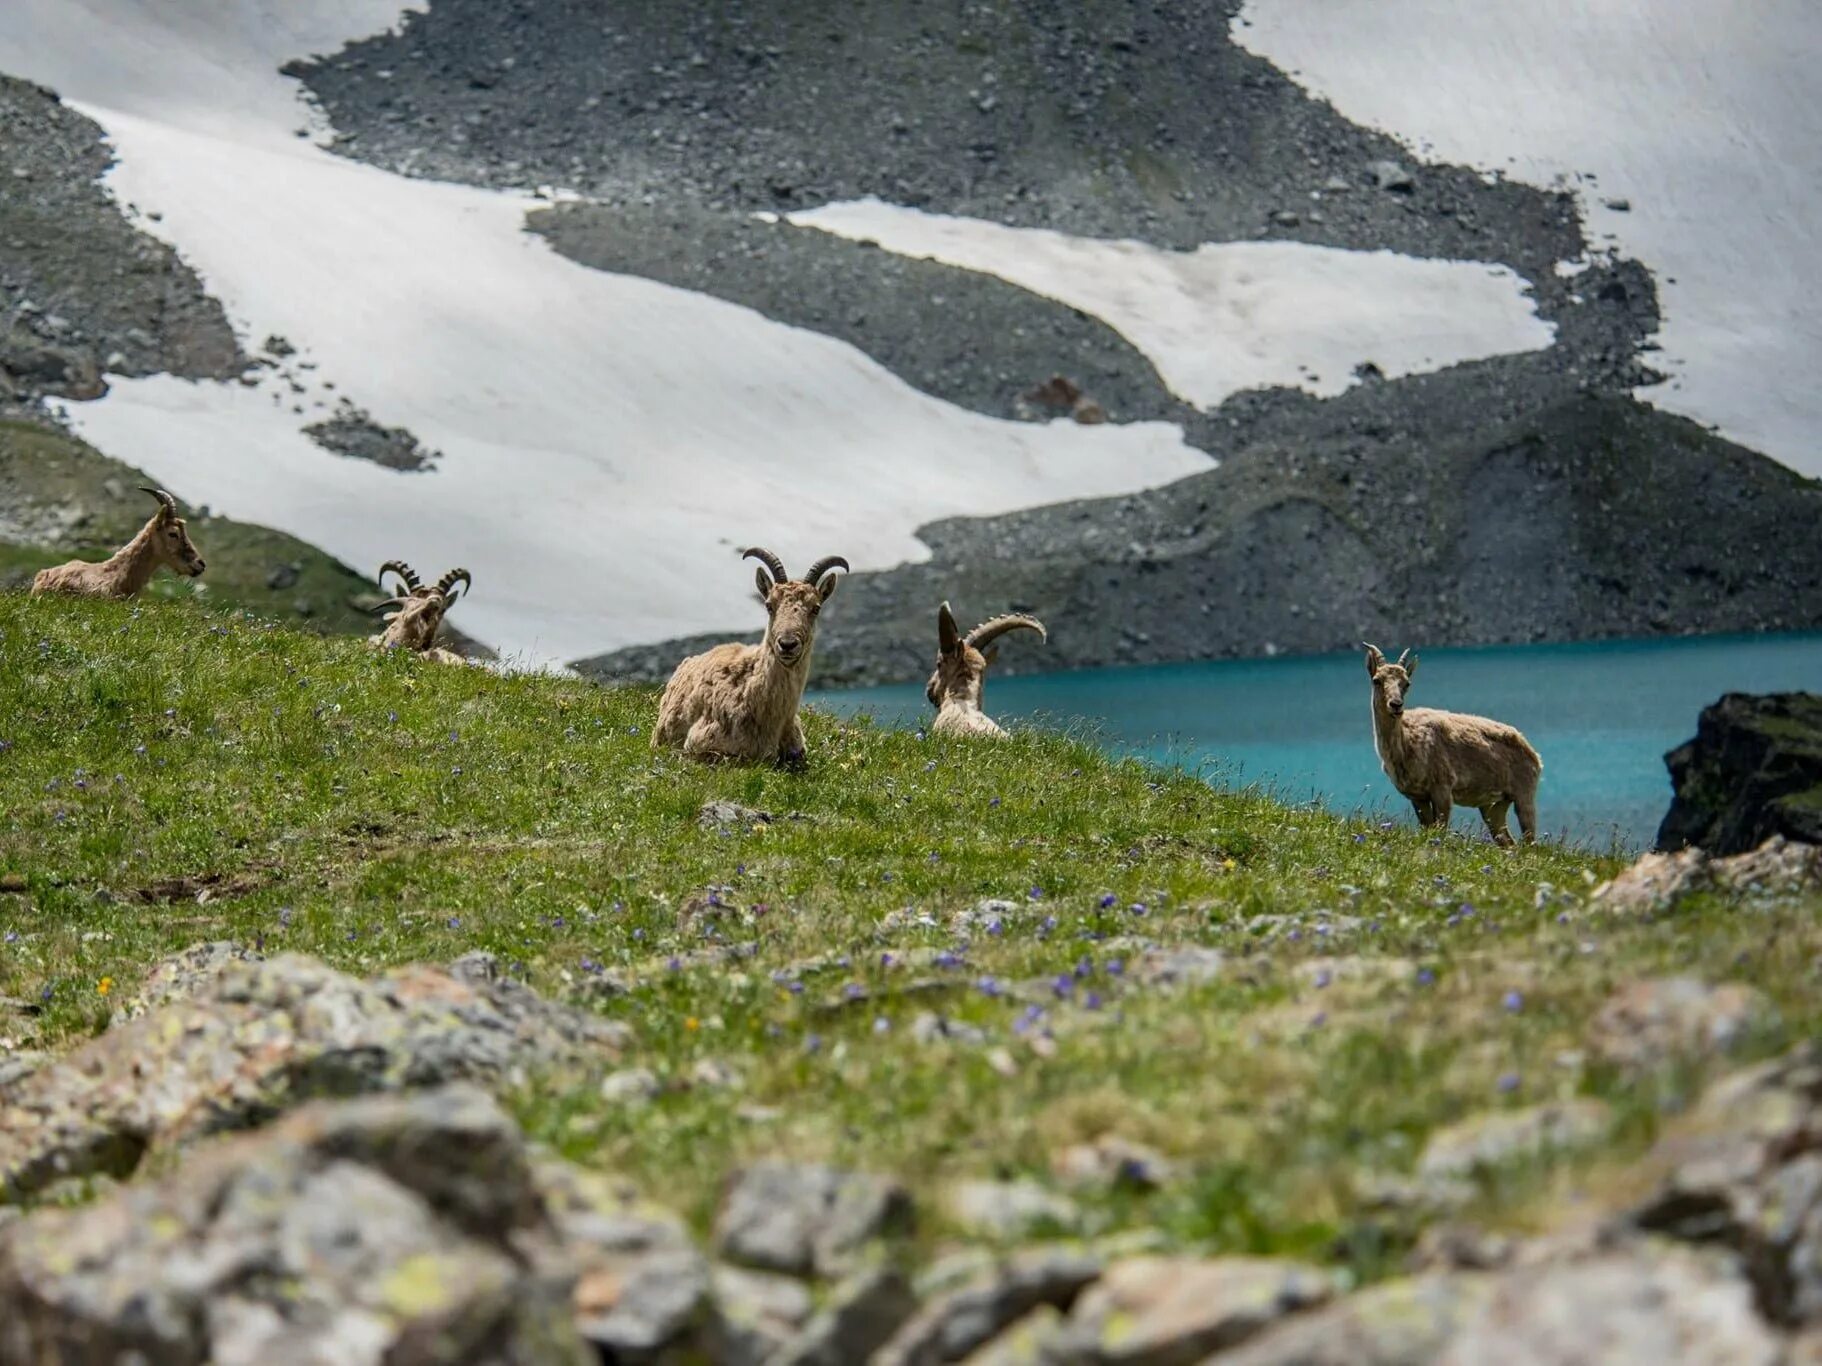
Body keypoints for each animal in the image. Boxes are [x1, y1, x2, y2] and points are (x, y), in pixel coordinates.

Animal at [1362, 641, 1545, 845]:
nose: (1396, 705)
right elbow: (1427, 829)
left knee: (1529, 841)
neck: (1407, 744)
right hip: (1494, 804)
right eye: (1376, 680)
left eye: (1407, 683)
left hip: (1524, 794)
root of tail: (1535, 756)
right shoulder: (1417, 797)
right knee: (1507, 841)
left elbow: (1440, 830)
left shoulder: (1442, 788)